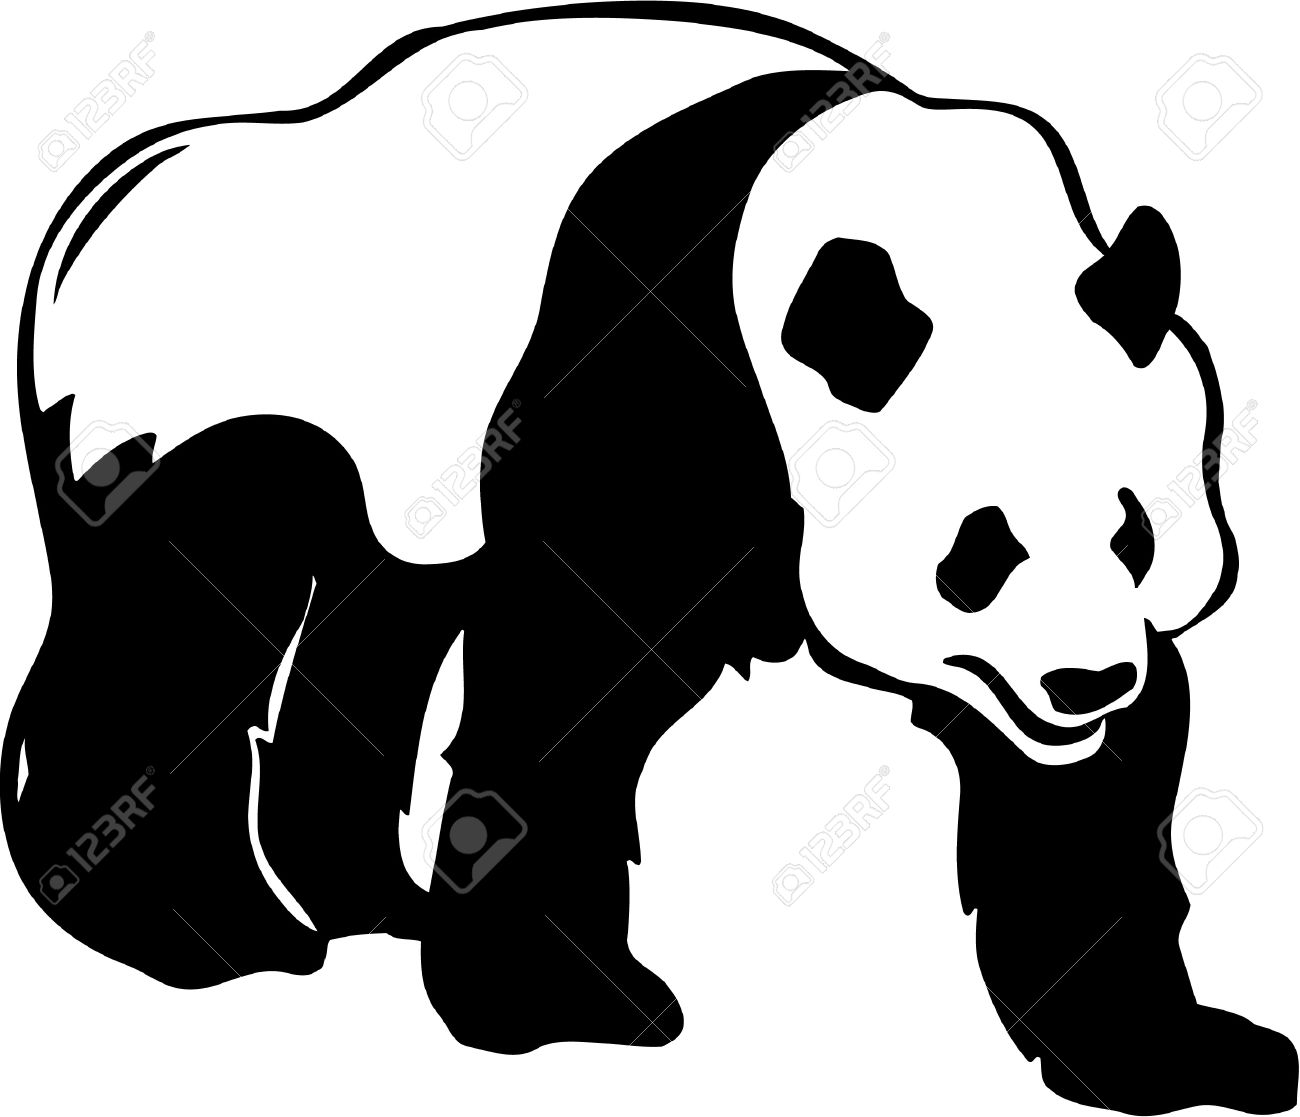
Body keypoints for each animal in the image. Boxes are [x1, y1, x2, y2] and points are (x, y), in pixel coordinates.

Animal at [3, 5, 1293, 1114]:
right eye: (978, 550)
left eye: (1132, 531)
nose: (1081, 682)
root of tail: (89, 211)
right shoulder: (643, 376)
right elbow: (571, 680)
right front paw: (565, 1010)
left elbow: (1083, 796)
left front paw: (1175, 1053)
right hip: (193, 399)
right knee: (168, 630)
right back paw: (200, 934)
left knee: (373, 634)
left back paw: (366, 903)